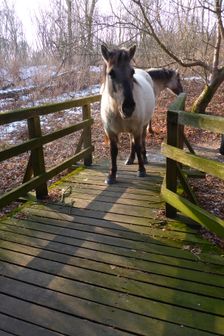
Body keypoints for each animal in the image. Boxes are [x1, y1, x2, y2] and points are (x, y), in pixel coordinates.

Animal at [100, 43, 155, 185]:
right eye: (111, 73)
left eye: (132, 72)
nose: (128, 107)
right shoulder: (111, 132)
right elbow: (113, 151)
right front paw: (111, 175)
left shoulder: (137, 128)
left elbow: (138, 146)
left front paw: (141, 170)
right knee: (132, 143)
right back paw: (130, 159)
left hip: (143, 126)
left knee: (141, 141)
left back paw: (144, 157)